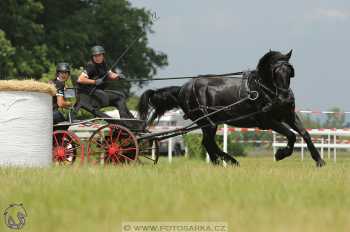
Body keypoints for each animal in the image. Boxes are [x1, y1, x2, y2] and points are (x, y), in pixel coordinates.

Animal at [138, 50, 326, 167]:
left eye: (289, 71)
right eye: (275, 72)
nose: (285, 98)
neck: (265, 90)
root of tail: (181, 89)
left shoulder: (288, 115)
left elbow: (305, 134)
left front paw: (319, 161)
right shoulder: (268, 120)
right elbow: (292, 135)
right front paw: (280, 154)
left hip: (209, 124)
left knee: (208, 143)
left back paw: (220, 162)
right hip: (207, 122)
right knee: (208, 143)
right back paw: (230, 161)